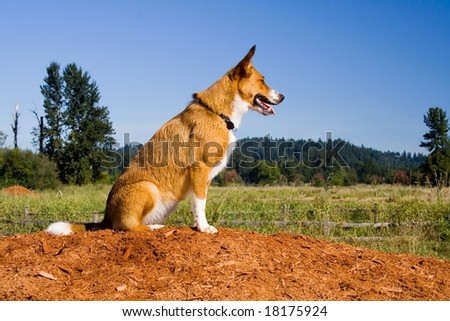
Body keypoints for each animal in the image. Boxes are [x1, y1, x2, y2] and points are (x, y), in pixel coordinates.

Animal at [46, 45, 284, 234]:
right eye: (263, 81)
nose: (283, 96)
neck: (217, 112)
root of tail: (105, 218)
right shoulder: (199, 169)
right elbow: (200, 204)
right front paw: (204, 228)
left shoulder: (203, 179)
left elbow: (198, 203)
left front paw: (199, 225)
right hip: (147, 188)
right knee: (127, 227)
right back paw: (154, 227)